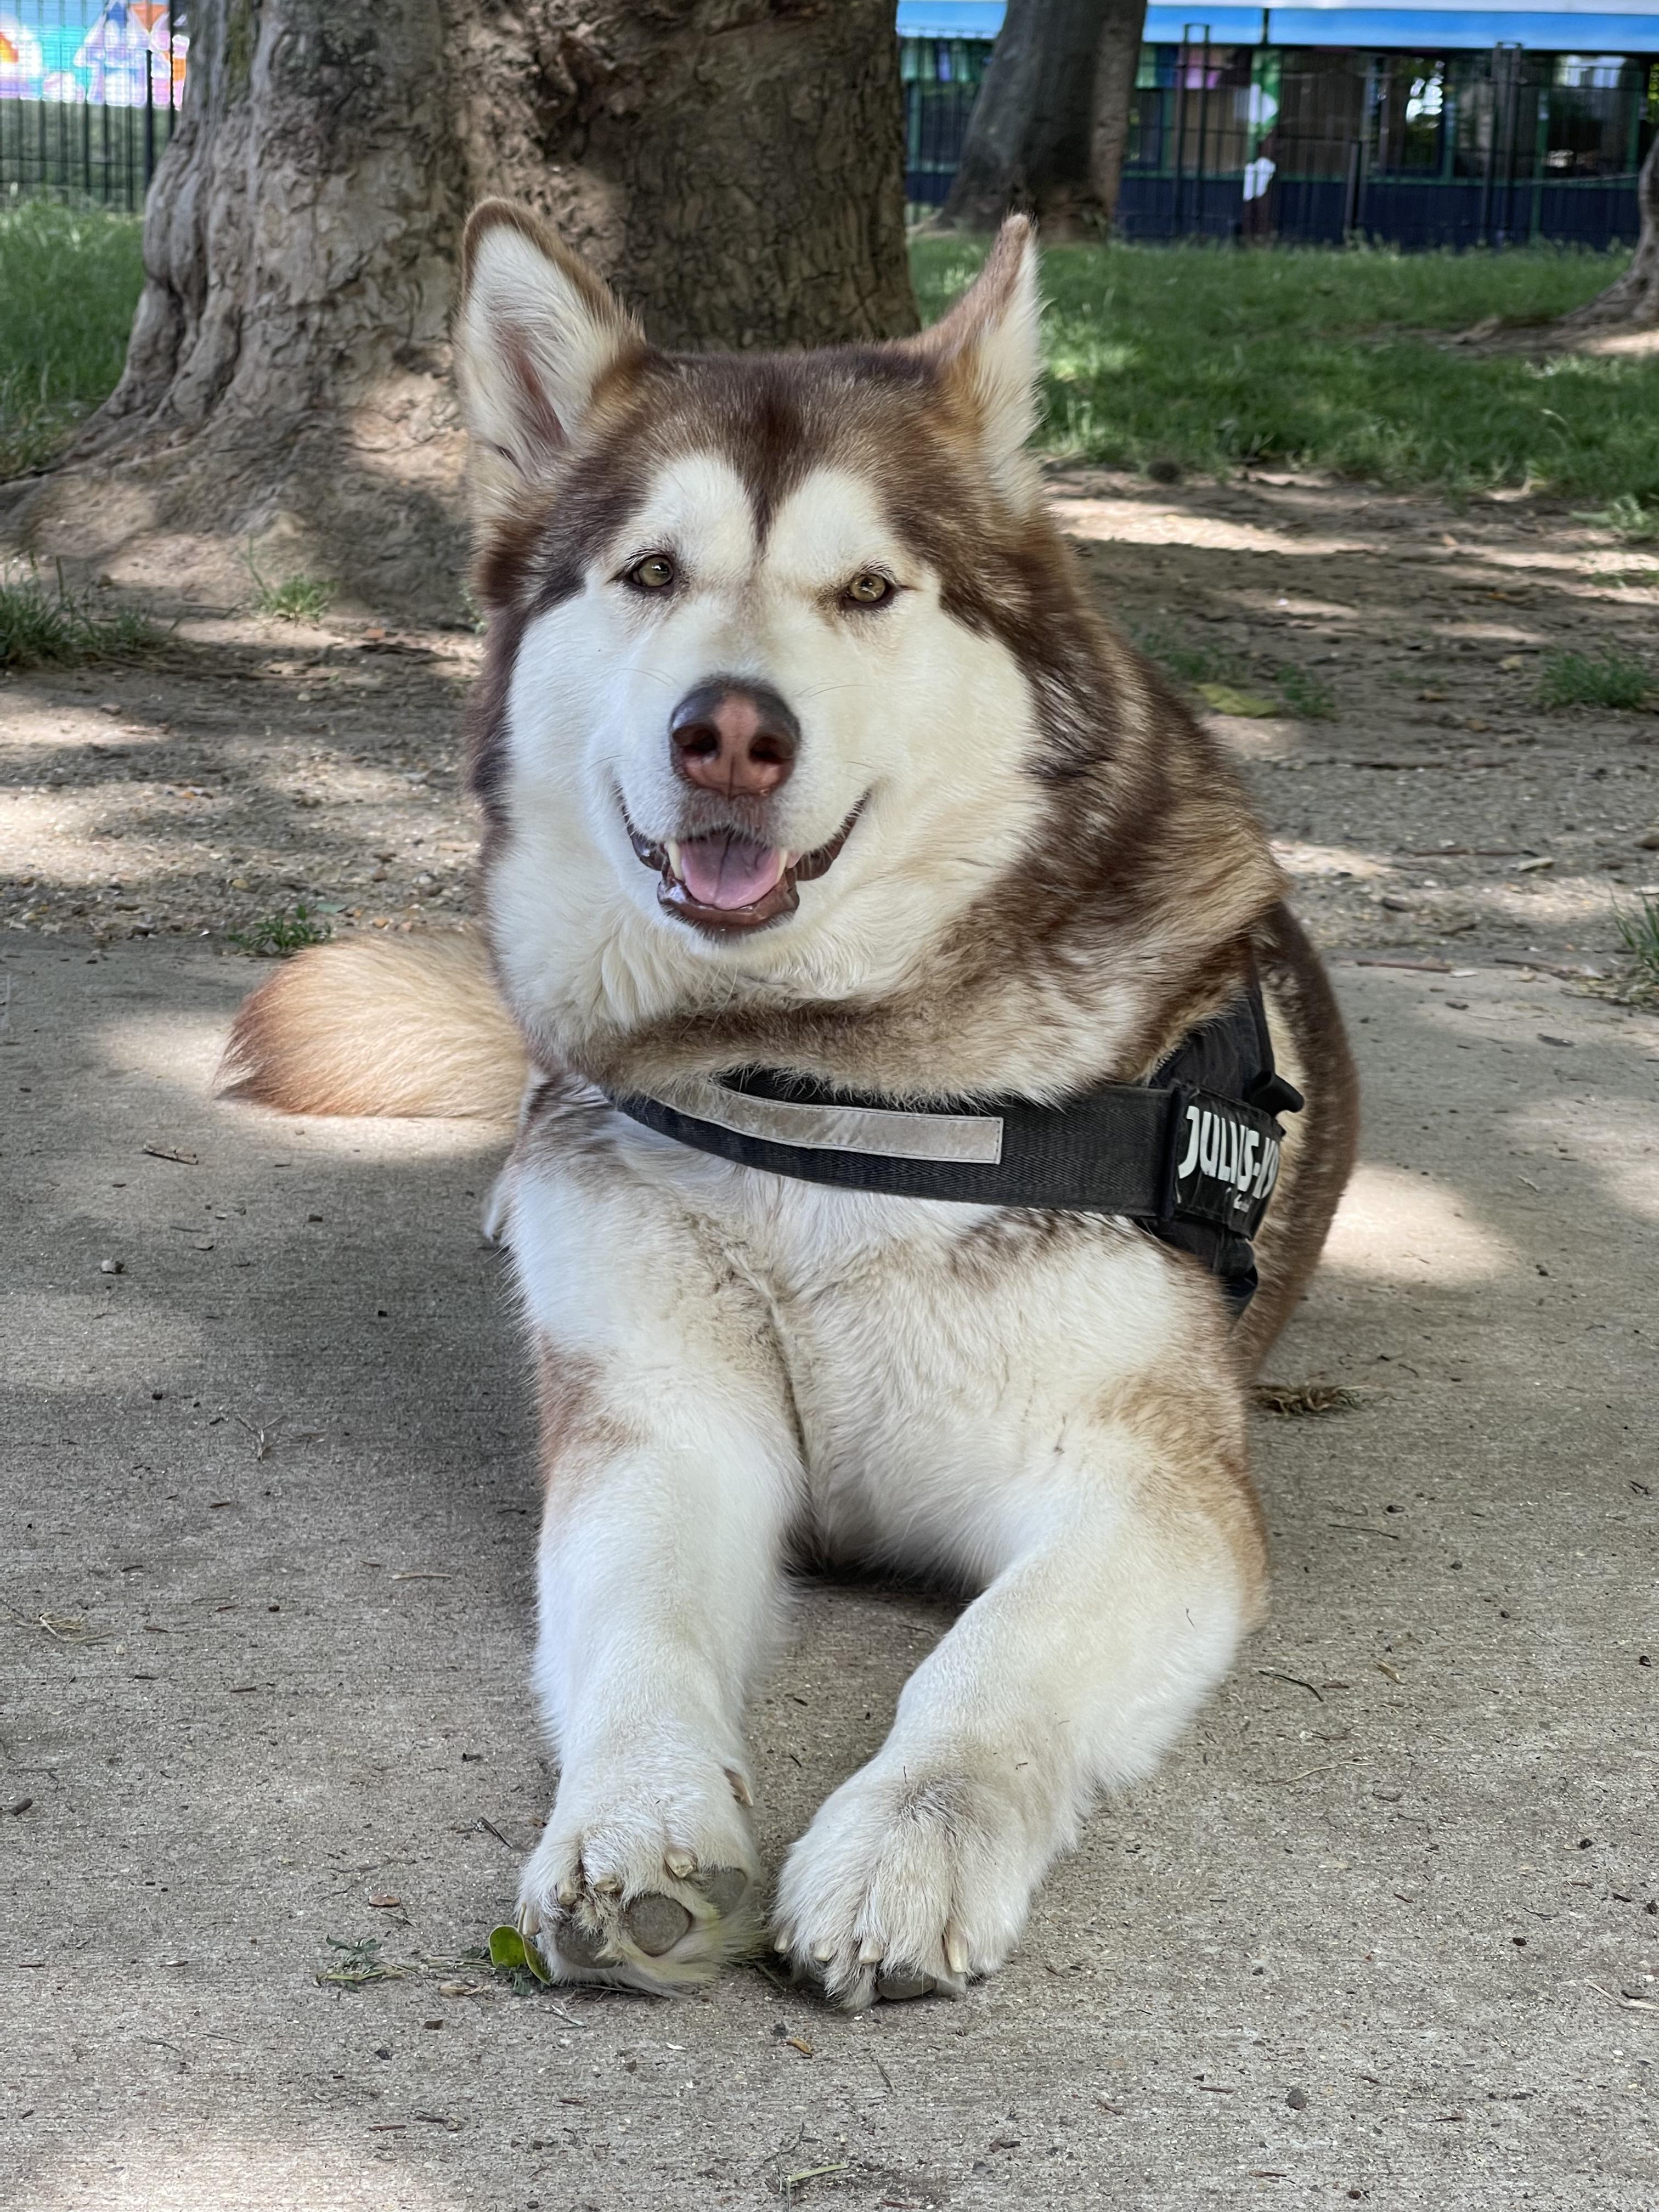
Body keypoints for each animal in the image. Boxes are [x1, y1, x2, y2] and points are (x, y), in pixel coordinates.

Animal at [224, 203, 1362, 2008]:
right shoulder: (657, 1428)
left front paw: (909, 1845)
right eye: (650, 574)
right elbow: (639, 1634)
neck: (822, 1069)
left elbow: (990, 1667)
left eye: (870, 589)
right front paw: (637, 1829)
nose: (733, 732)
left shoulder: (1151, 1490)